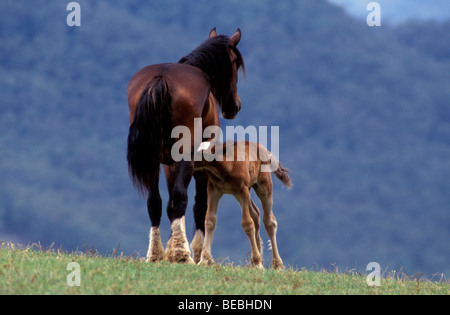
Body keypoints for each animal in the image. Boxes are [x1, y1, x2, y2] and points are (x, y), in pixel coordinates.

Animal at [126, 28, 246, 264]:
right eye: (235, 63)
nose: (234, 106)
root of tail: (161, 79)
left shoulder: (168, 164)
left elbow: (170, 205)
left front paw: (171, 249)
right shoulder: (201, 166)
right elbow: (199, 206)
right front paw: (197, 252)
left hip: (153, 160)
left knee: (155, 202)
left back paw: (156, 254)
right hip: (186, 159)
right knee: (182, 198)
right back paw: (184, 255)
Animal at [193, 141, 292, 270]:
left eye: (200, 153)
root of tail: (265, 150)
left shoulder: (242, 189)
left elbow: (247, 223)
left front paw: (258, 263)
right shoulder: (213, 189)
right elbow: (210, 220)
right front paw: (204, 259)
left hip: (263, 185)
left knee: (269, 220)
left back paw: (277, 264)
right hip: (244, 191)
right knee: (255, 213)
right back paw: (257, 259)